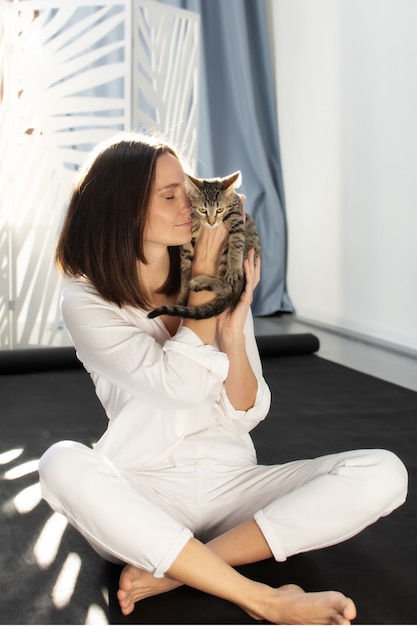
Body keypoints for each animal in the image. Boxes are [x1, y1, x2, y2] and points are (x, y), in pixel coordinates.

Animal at [147, 169, 260, 320]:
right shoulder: (187, 242)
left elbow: (236, 243)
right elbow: (185, 269)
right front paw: (183, 293)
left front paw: (234, 269)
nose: (211, 223)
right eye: (202, 210)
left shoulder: (237, 217)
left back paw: (201, 281)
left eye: (220, 210)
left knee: (228, 288)